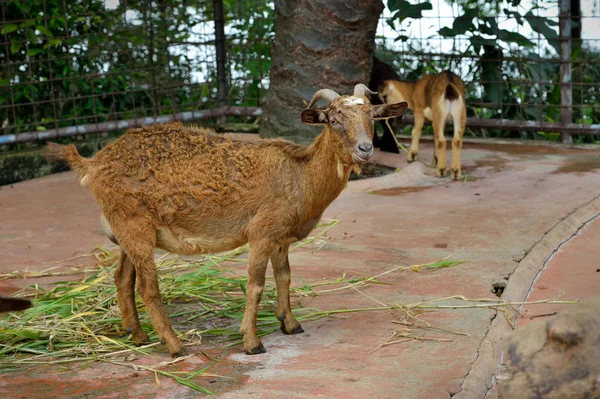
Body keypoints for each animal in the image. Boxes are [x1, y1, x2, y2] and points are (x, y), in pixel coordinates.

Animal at [43, 83, 408, 356]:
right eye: (333, 119)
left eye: (372, 115)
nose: (365, 149)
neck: (299, 174)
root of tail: (92, 164)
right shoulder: (261, 232)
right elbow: (256, 285)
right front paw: (252, 341)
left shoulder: (281, 237)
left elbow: (285, 277)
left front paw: (290, 324)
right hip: (134, 227)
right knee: (148, 287)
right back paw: (174, 345)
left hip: (126, 232)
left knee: (122, 278)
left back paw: (138, 335)